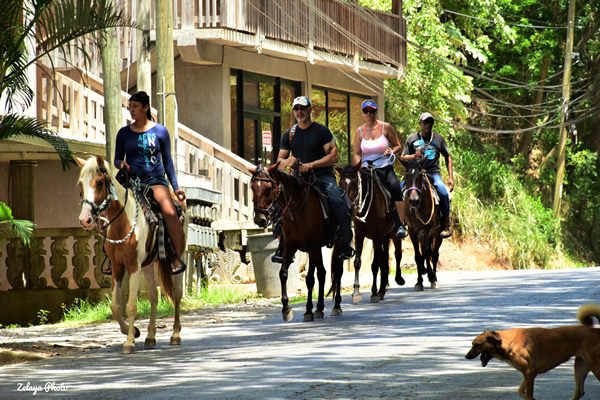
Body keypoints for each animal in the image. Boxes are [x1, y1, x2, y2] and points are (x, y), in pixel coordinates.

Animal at [77, 155, 185, 354]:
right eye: (81, 184)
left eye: (100, 182)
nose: (85, 220)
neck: (123, 223)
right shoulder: (118, 267)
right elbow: (115, 306)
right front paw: (134, 331)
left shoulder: (134, 266)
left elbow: (131, 305)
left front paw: (129, 342)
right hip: (148, 265)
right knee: (154, 296)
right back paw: (150, 336)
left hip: (176, 261)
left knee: (177, 294)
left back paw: (175, 334)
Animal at [247, 162, 342, 322]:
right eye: (252, 187)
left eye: (268, 188)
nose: (260, 219)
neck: (297, 210)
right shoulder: (290, 246)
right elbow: (283, 274)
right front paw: (286, 308)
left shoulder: (312, 246)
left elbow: (309, 279)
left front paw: (308, 310)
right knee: (322, 273)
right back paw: (320, 308)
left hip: (337, 244)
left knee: (338, 272)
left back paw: (336, 306)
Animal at [338, 162, 404, 304]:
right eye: (340, 183)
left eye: (355, 182)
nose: (348, 208)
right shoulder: (360, 234)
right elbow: (358, 262)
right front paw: (356, 292)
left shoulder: (377, 235)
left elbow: (374, 265)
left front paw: (373, 292)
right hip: (384, 237)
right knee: (384, 260)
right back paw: (382, 290)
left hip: (392, 235)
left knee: (397, 254)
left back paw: (398, 279)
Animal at [400, 157, 442, 290]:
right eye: (406, 175)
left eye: (420, 175)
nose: (413, 200)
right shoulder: (412, 231)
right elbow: (418, 255)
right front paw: (419, 282)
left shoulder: (429, 229)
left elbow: (427, 252)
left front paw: (431, 277)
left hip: (437, 234)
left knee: (434, 254)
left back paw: (434, 278)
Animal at [466, 304, 600, 400]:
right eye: (472, 344)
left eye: (477, 345)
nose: (466, 356)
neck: (505, 342)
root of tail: (596, 331)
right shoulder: (529, 373)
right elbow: (520, 391)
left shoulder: (529, 373)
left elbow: (528, 395)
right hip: (580, 367)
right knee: (579, 392)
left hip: (595, 368)